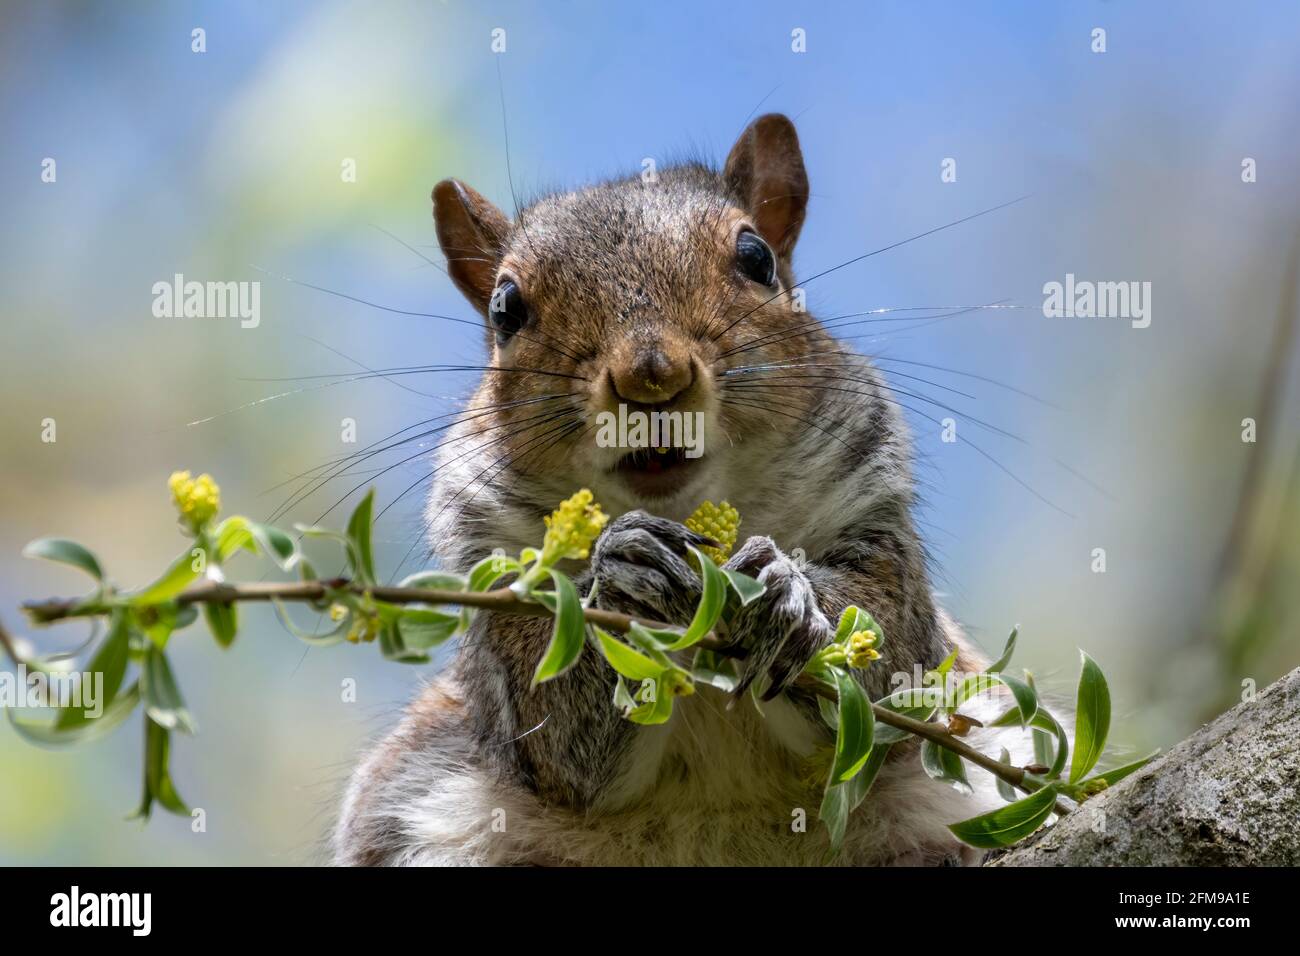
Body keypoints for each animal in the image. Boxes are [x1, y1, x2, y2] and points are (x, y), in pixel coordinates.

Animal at [332, 114, 1023, 866]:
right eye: (506, 307)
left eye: (756, 257)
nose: (651, 374)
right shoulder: (499, 581)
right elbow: (558, 734)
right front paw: (623, 572)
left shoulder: (873, 517)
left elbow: (892, 652)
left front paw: (788, 596)